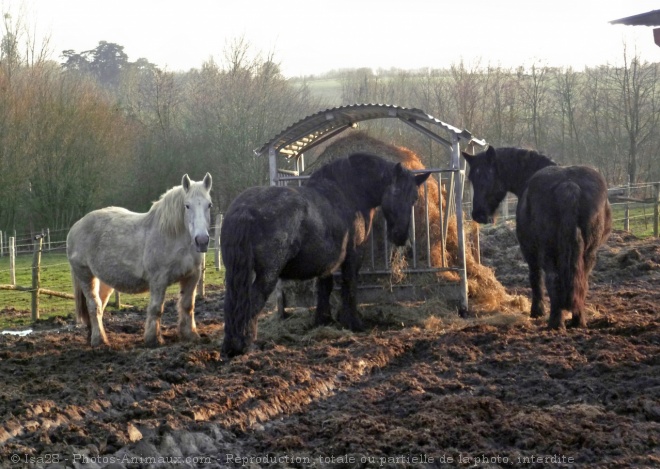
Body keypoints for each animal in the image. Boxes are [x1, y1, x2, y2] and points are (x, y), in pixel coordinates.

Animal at [66, 174, 213, 346]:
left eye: (209, 205)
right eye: (187, 206)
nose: (201, 241)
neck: (173, 237)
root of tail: (76, 226)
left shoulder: (192, 276)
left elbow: (187, 305)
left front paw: (190, 335)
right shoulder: (158, 280)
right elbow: (156, 308)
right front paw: (153, 339)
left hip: (102, 280)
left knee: (100, 305)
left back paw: (92, 336)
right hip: (85, 275)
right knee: (93, 305)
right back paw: (99, 340)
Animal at [219, 153, 430, 354]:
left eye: (414, 198)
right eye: (395, 192)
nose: (400, 236)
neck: (349, 193)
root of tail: (245, 209)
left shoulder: (326, 261)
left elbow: (324, 288)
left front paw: (323, 320)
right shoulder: (353, 256)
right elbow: (349, 286)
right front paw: (353, 322)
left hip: (235, 273)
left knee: (233, 302)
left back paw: (231, 345)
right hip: (268, 274)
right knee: (252, 301)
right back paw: (245, 344)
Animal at [462, 146, 612, 330]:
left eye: (488, 175)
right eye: (472, 178)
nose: (479, 214)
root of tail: (569, 185)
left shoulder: (529, 249)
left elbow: (535, 277)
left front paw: (537, 311)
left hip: (548, 250)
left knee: (552, 279)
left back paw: (555, 322)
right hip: (589, 252)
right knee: (581, 280)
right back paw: (577, 321)